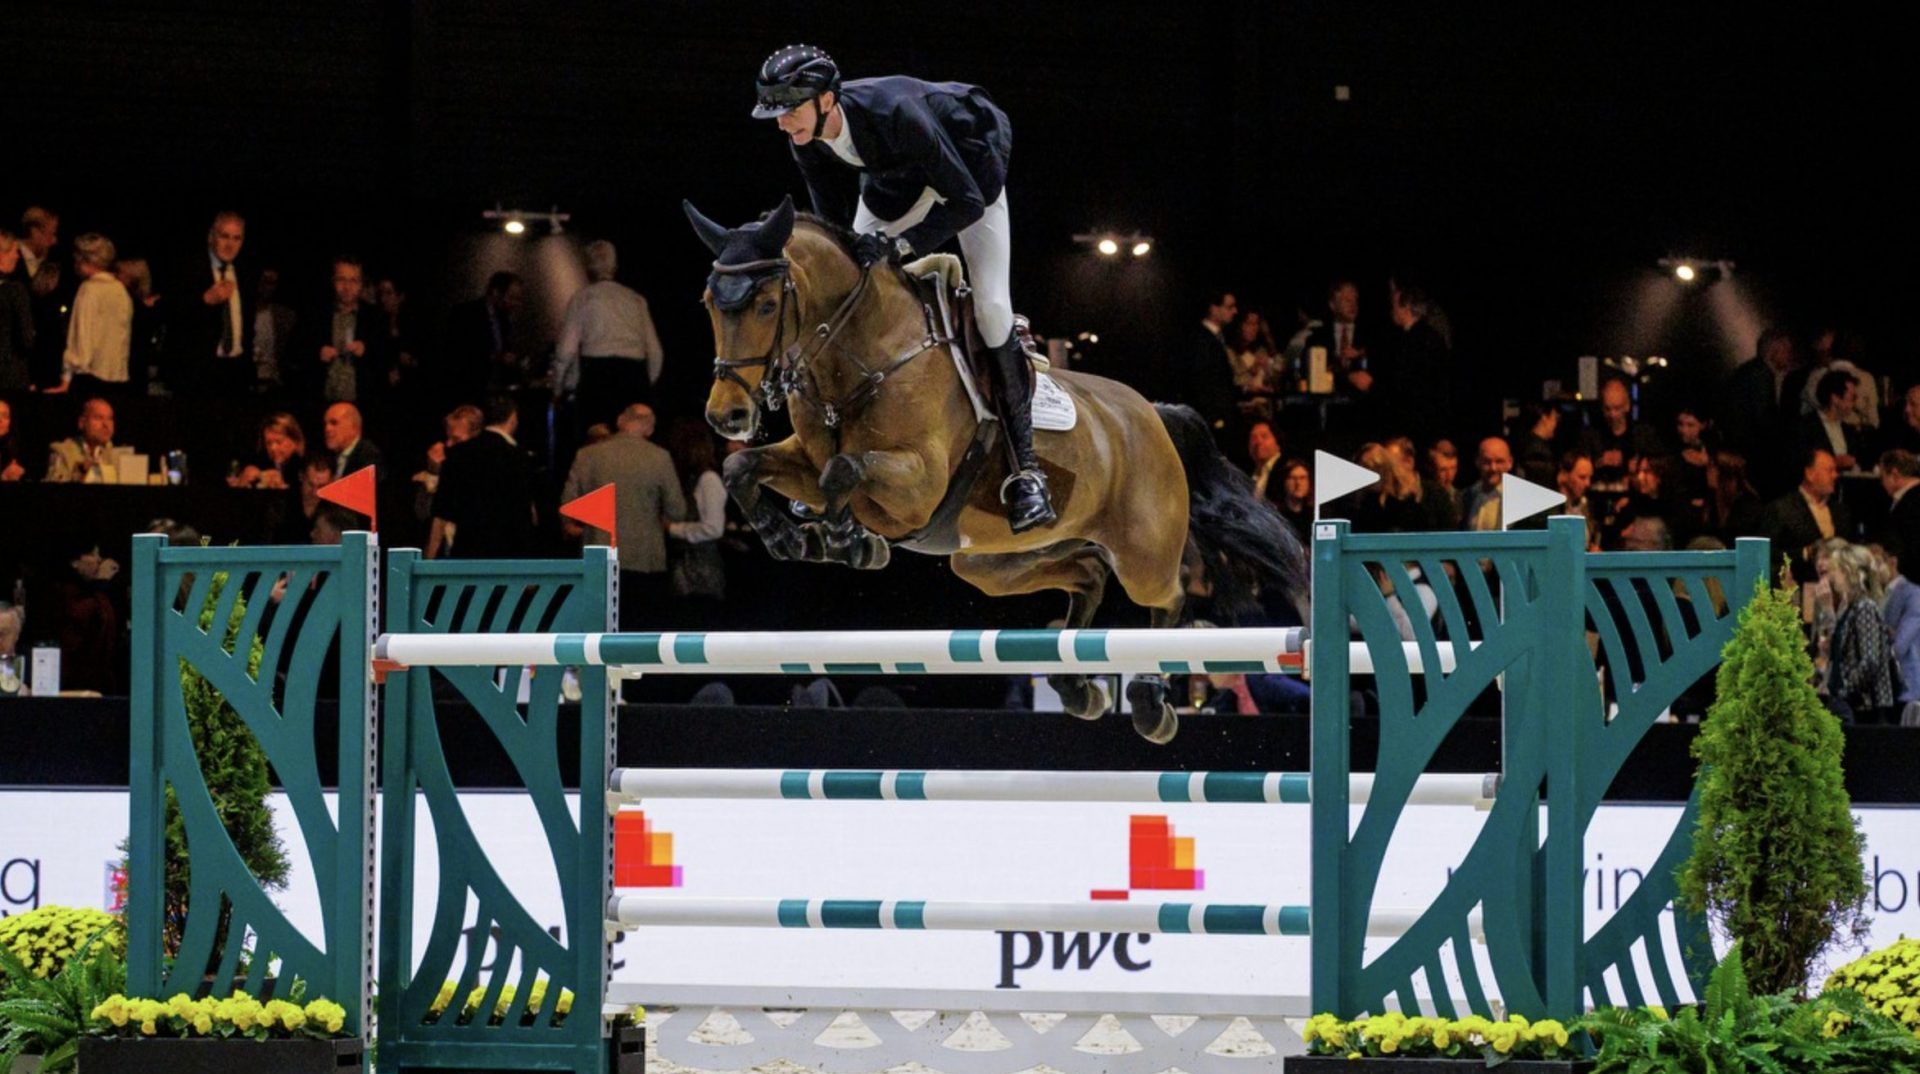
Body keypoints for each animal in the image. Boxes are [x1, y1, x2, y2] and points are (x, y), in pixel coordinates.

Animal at [684, 195, 1303, 742]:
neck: (867, 356)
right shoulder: (806, 461)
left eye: (766, 306)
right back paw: (1077, 688)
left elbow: (843, 470)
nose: (727, 414)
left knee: (1170, 596)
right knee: (1087, 574)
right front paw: (791, 536)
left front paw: (845, 540)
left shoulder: (919, 484)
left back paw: (1150, 702)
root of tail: (1152, 413)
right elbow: (746, 466)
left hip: (1141, 552)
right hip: (992, 561)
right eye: (709, 303)